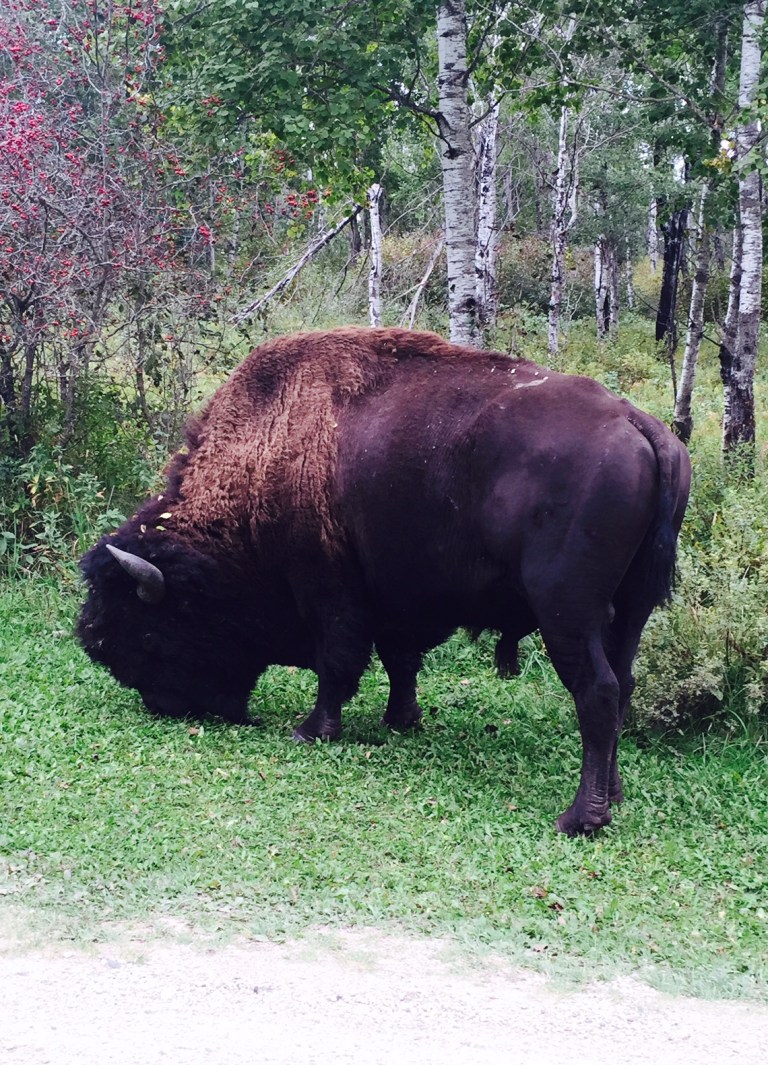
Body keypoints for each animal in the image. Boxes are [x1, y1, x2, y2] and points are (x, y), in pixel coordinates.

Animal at [78, 327, 690, 834]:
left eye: (149, 628)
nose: (162, 704)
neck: (268, 447)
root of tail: (638, 425)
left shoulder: (329, 593)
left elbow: (337, 663)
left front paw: (312, 729)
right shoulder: (395, 601)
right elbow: (400, 661)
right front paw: (401, 720)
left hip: (567, 613)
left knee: (597, 692)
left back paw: (579, 818)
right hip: (630, 610)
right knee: (623, 684)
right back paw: (614, 794)